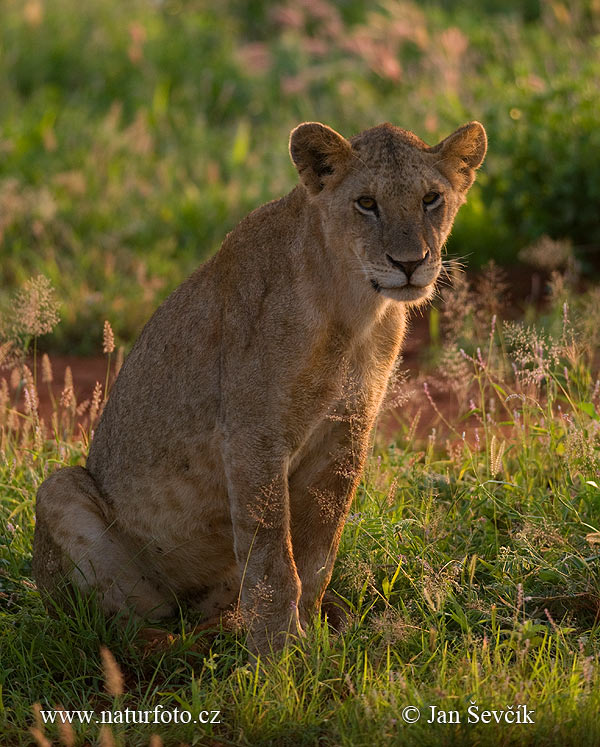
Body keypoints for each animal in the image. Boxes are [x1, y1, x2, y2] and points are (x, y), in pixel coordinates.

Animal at [31, 118, 488, 656]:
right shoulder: (252, 434)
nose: (410, 262)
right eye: (366, 203)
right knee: (115, 624)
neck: (351, 309)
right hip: (60, 492)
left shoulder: (346, 431)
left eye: (431, 199)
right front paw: (280, 654)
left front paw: (312, 636)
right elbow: (272, 555)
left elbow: (317, 552)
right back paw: (180, 650)